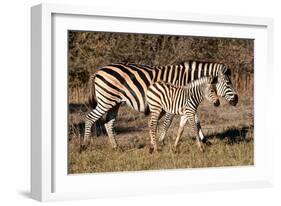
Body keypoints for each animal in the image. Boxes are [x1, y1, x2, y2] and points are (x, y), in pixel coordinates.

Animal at [80, 60, 236, 150]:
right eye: (228, 83)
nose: (236, 100)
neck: (187, 80)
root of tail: (98, 70)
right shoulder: (174, 101)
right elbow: (168, 123)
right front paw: (160, 142)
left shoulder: (184, 102)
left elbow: (196, 121)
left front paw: (205, 141)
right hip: (106, 100)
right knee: (90, 117)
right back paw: (84, 146)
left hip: (114, 103)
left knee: (108, 123)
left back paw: (115, 147)